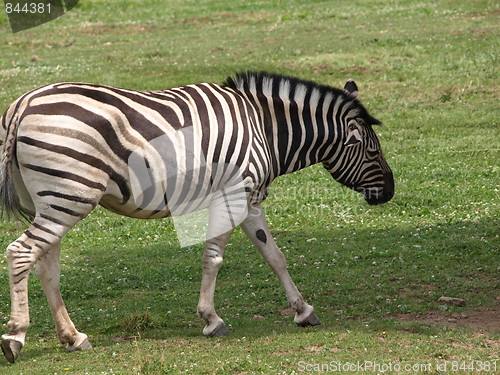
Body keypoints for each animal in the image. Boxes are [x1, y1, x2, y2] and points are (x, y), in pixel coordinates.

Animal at [0, 72, 394, 362]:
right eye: (373, 151)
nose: (390, 191)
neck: (265, 129)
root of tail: (24, 102)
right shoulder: (234, 192)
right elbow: (214, 257)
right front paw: (211, 319)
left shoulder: (251, 200)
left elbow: (274, 255)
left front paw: (303, 310)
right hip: (70, 196)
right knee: (21, 253)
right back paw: (15, 337)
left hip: (53, 200)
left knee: (46, 264)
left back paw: (73, 337)